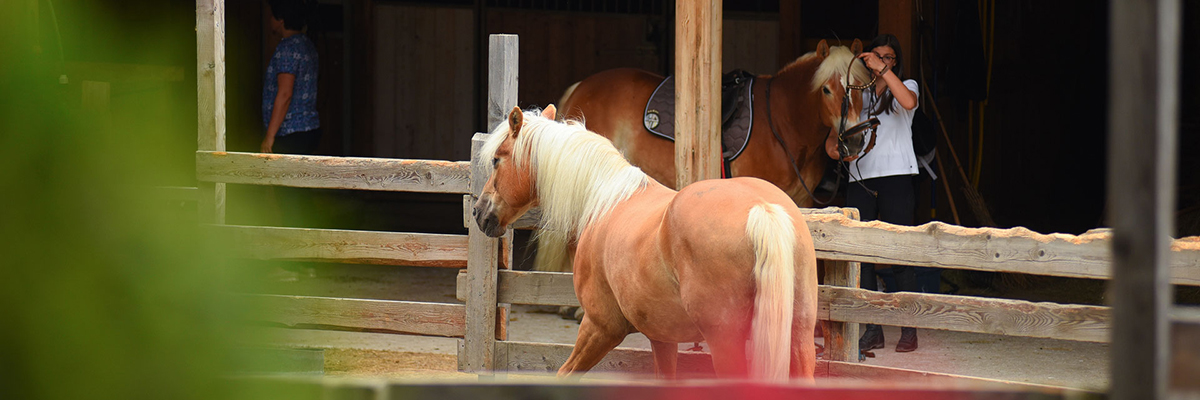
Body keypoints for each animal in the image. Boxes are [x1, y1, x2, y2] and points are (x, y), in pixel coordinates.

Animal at [472, 105, 820, 379]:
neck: (604, 200)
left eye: (497, 160)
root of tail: (762, 208)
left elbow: (565, 374)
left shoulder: (600, 327)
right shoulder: (662, 338)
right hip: (799, 337)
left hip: (726, 345)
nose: (479, 212)